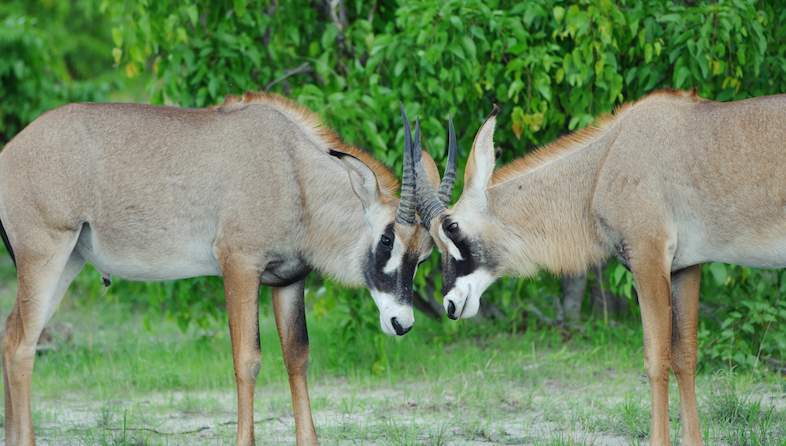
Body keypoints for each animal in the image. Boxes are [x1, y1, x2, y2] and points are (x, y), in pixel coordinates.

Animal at [0, 93, 442, 446]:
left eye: (423, 256)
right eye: (387, 239)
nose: (401, 322)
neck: (292, 171)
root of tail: (10, 152)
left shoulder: (288, 280)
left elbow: (297, 356)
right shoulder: (240, 266)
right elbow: (247, 359)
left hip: (68, 261)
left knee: (9, 334)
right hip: (46, 254)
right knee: (23, 346)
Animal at [415, 90, 786, 446]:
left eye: (452, 228)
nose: (450, 304)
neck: (604, 163)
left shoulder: (648, 258)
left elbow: (656, 357)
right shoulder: (686, 268)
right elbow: (685, 356)